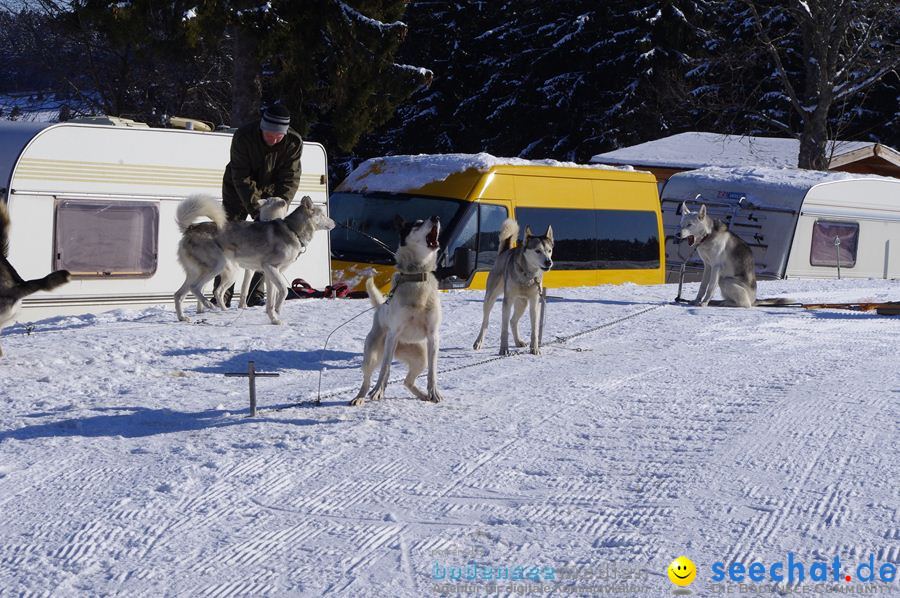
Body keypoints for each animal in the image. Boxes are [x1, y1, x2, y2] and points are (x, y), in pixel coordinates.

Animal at [173, 195, 334, 326]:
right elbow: (283, 291)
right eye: (323, 214)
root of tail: (190, 228)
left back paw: (182, 318)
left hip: (198, 273)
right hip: (217, 266)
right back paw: (209, 305)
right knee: (196, 288)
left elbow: (271, 300)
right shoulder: (270, 267)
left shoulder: (270, 274)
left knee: (179, 294)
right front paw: (277, 310)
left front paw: (274, 319)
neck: (292, 230)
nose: (335, 223)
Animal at [356, 216, 446, 408]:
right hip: (372, 355)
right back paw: (359, 397)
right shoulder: (394, 334)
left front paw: (434, 393)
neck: (417, 277)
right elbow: (385, 369)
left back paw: (423, 395)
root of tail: (380, 307)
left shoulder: (433, 336)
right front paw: (378, 391)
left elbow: (432, 372)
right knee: (367, 379)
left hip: (421, 357)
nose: (436, 217)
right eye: (417, 224)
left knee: (407, 381)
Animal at [474, 219, 552, 356]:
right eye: (538, 251)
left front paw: (534, 348)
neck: (528, 276)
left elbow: (534, 330)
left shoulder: (534, 302)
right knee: (486, 322)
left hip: (522, 303)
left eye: (549, 250)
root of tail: (504, 252)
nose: (548, 262)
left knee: (513, 321)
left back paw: (518, 341)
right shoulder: (507, 301)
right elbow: (504, 330)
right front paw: (504, 349)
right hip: (490, 298)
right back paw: (479, 342)